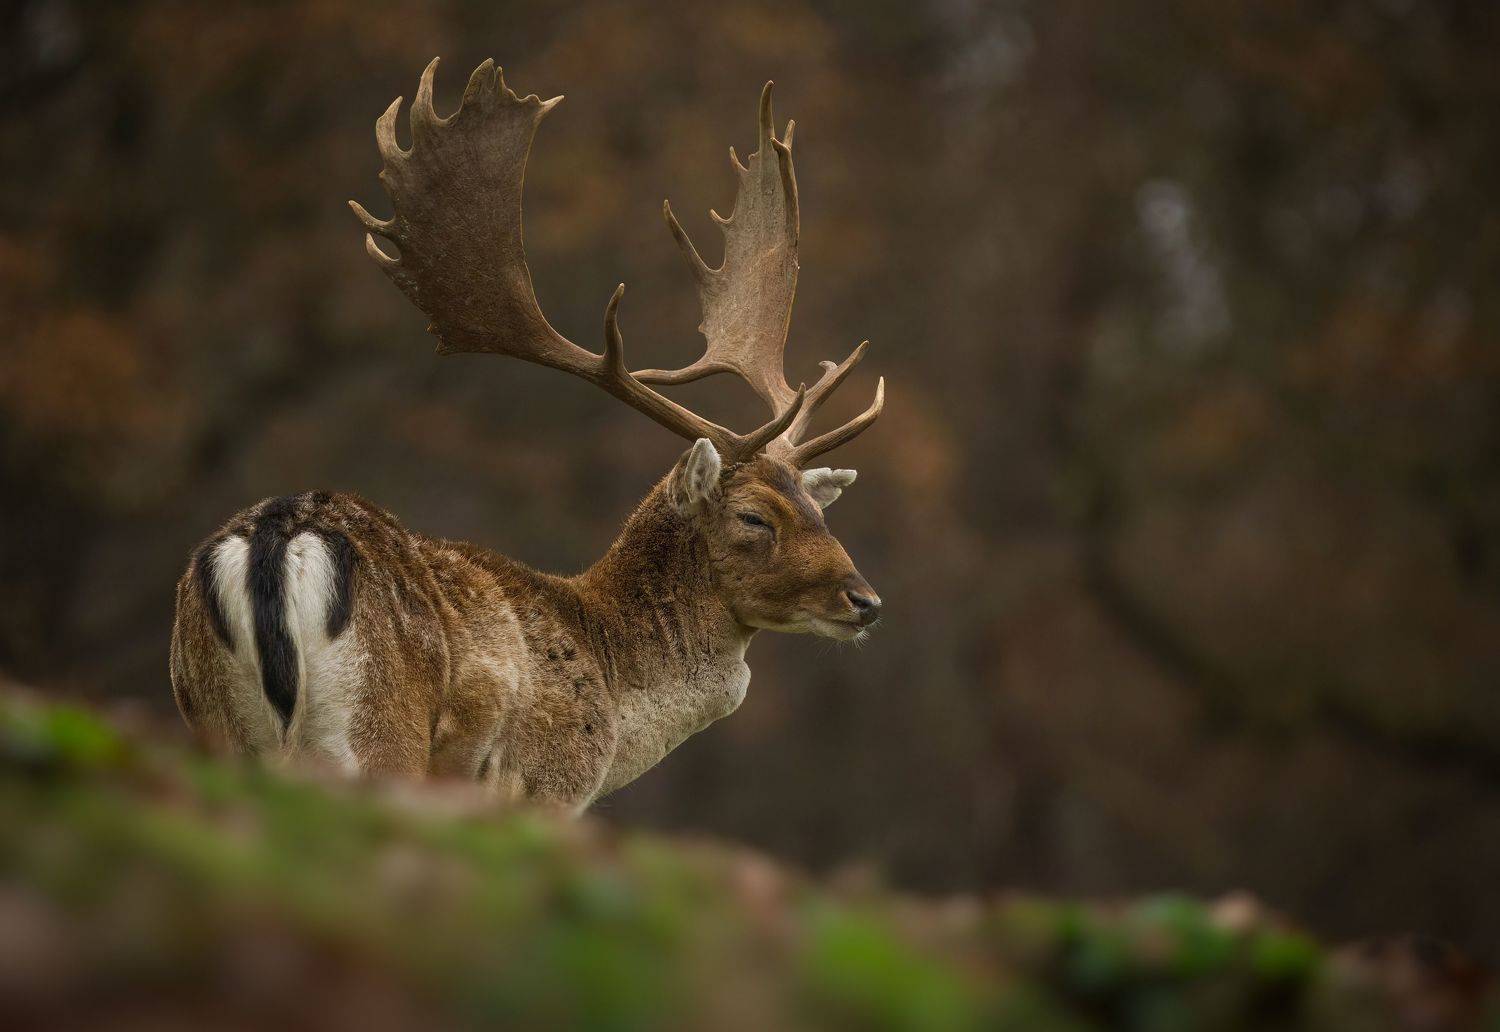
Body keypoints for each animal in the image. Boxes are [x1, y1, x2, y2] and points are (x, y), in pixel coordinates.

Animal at [169, 59, 884, 812]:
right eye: (754, 516)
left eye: (817, 509)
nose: (866, 601)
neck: (608, 682)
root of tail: (276, 544)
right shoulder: (551, 781)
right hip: (376, 732)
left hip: (210, 719)